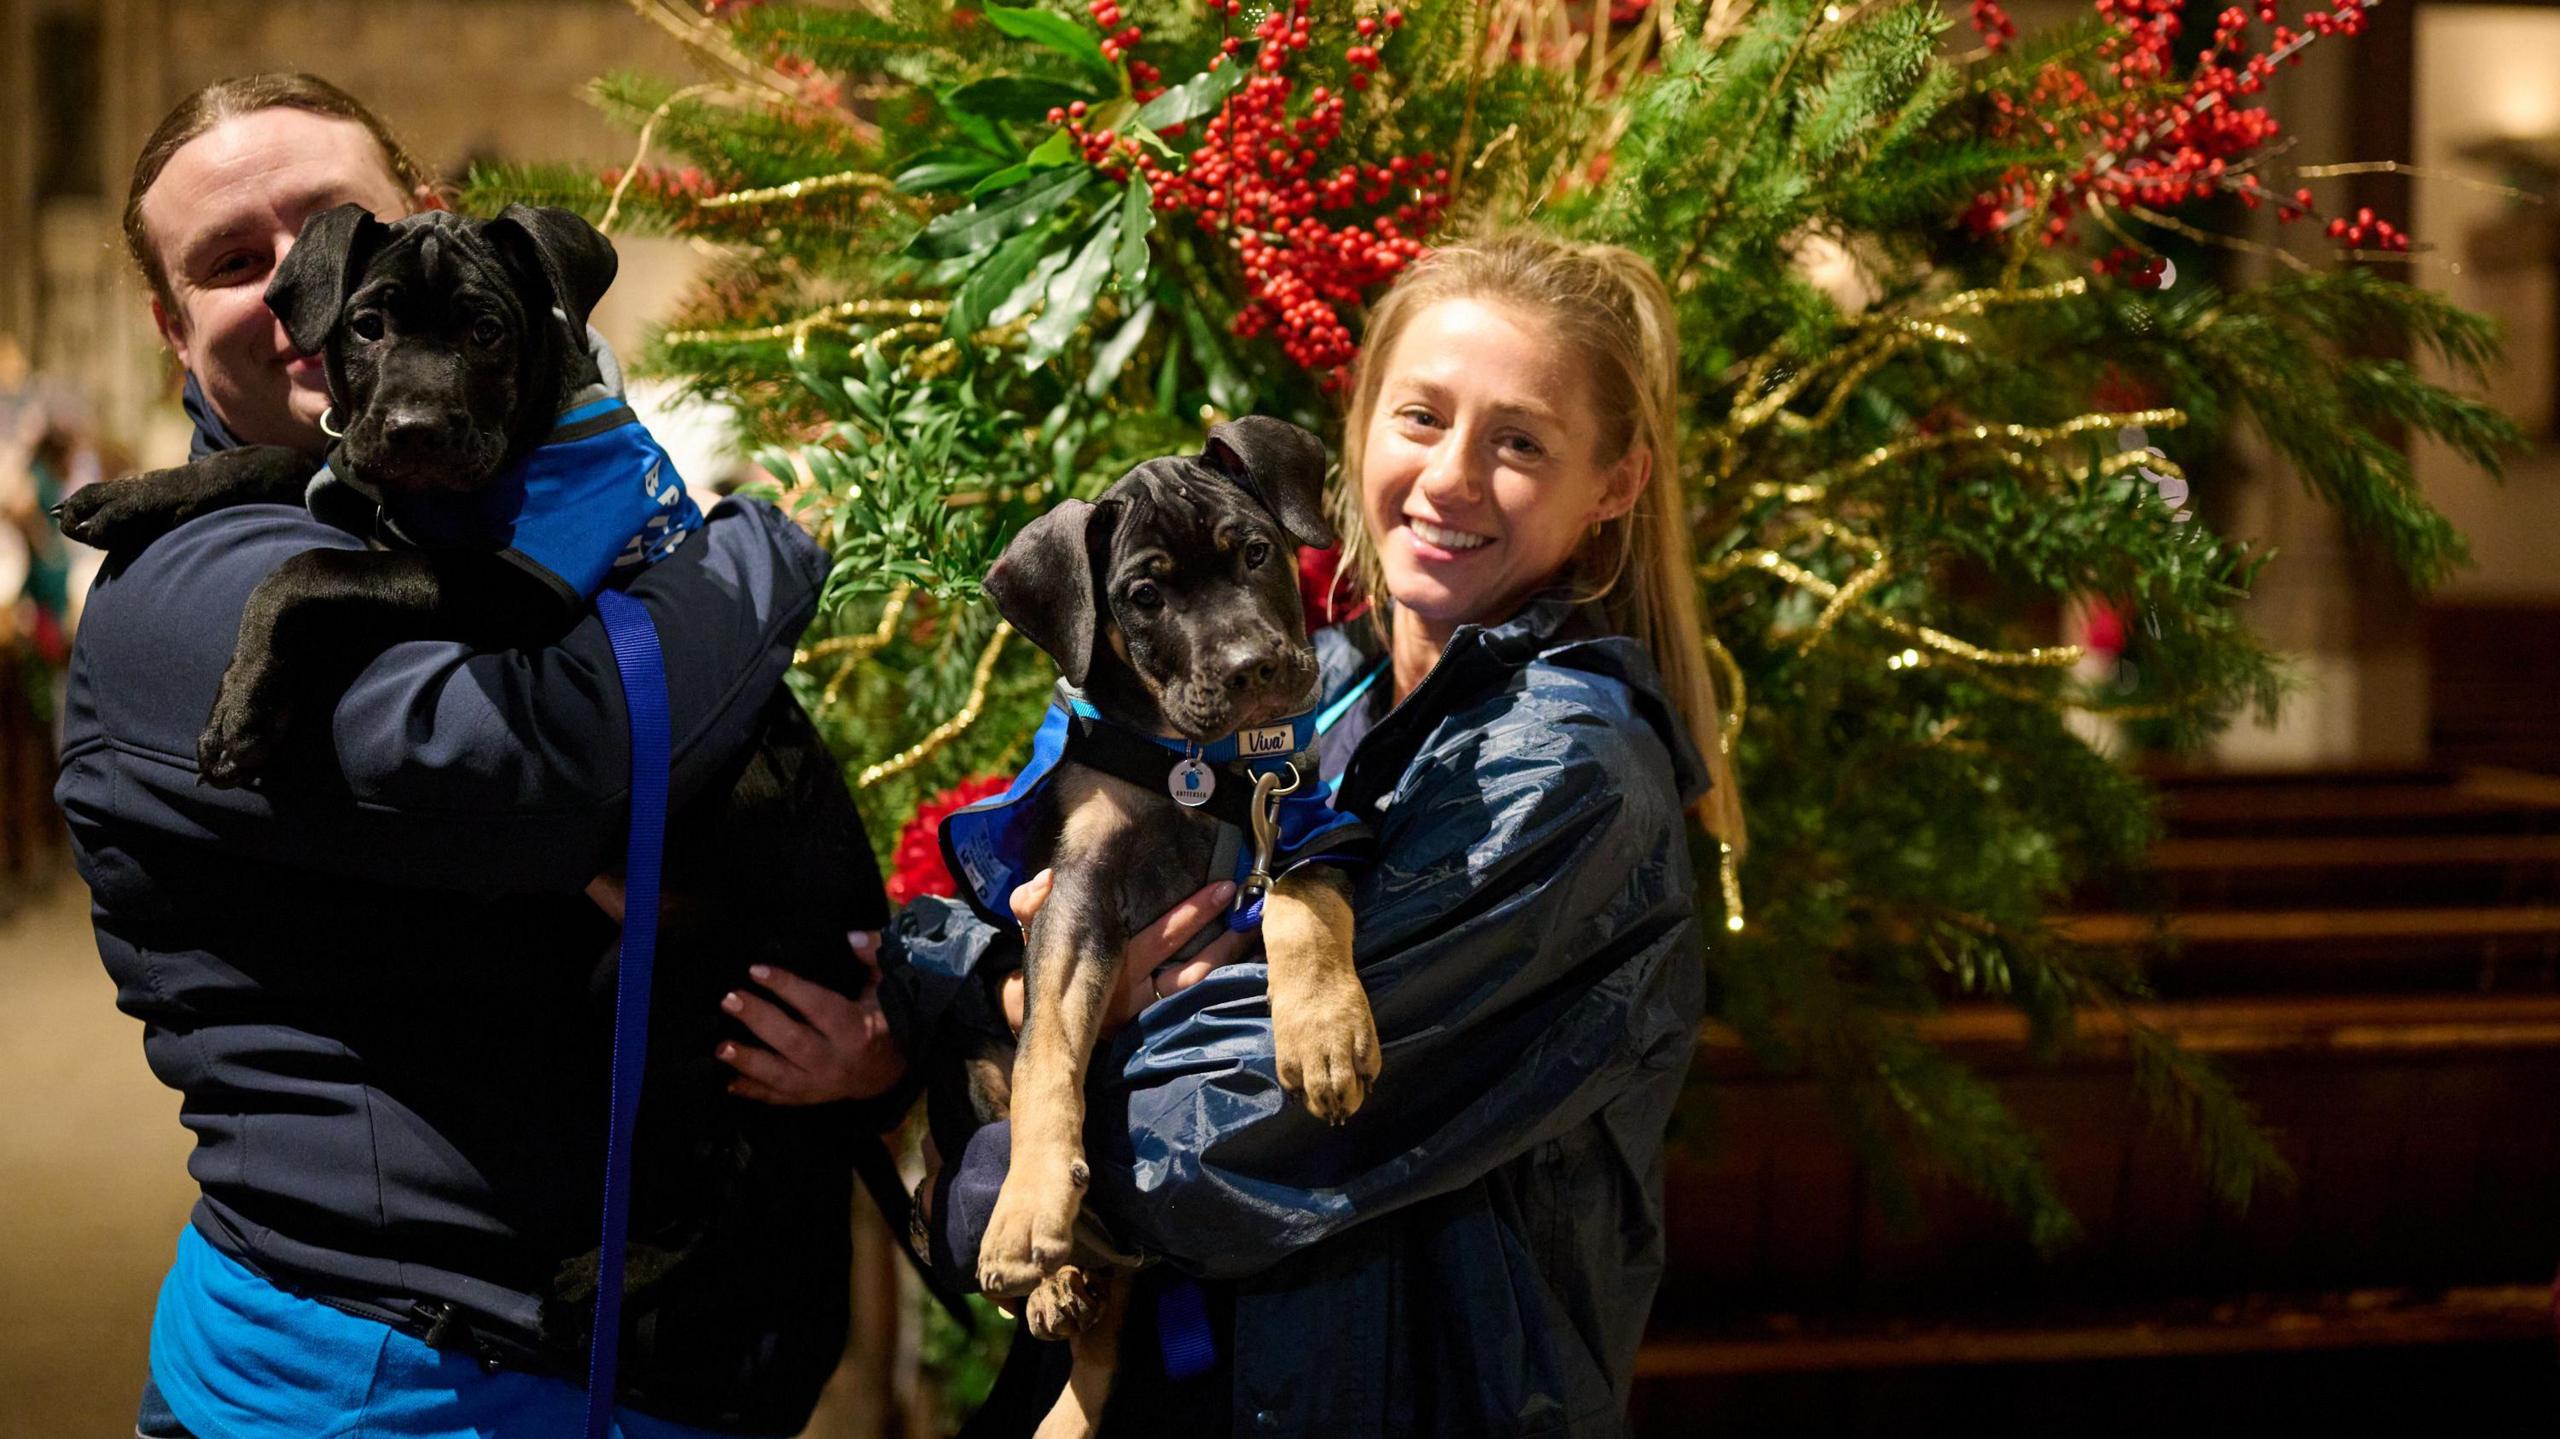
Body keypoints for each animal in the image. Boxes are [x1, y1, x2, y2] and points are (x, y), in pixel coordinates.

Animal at [957, 414, 1382, 1433]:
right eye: (1143, 596)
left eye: (1256, 552)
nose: (1251, 668)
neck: (1204, 767)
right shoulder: (1074, 898)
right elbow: (1047, 1053)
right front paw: (1026, 1209)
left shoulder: (1312, 827)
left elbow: (1301, 905)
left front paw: (1325, 1035)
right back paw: (1053, 1280)